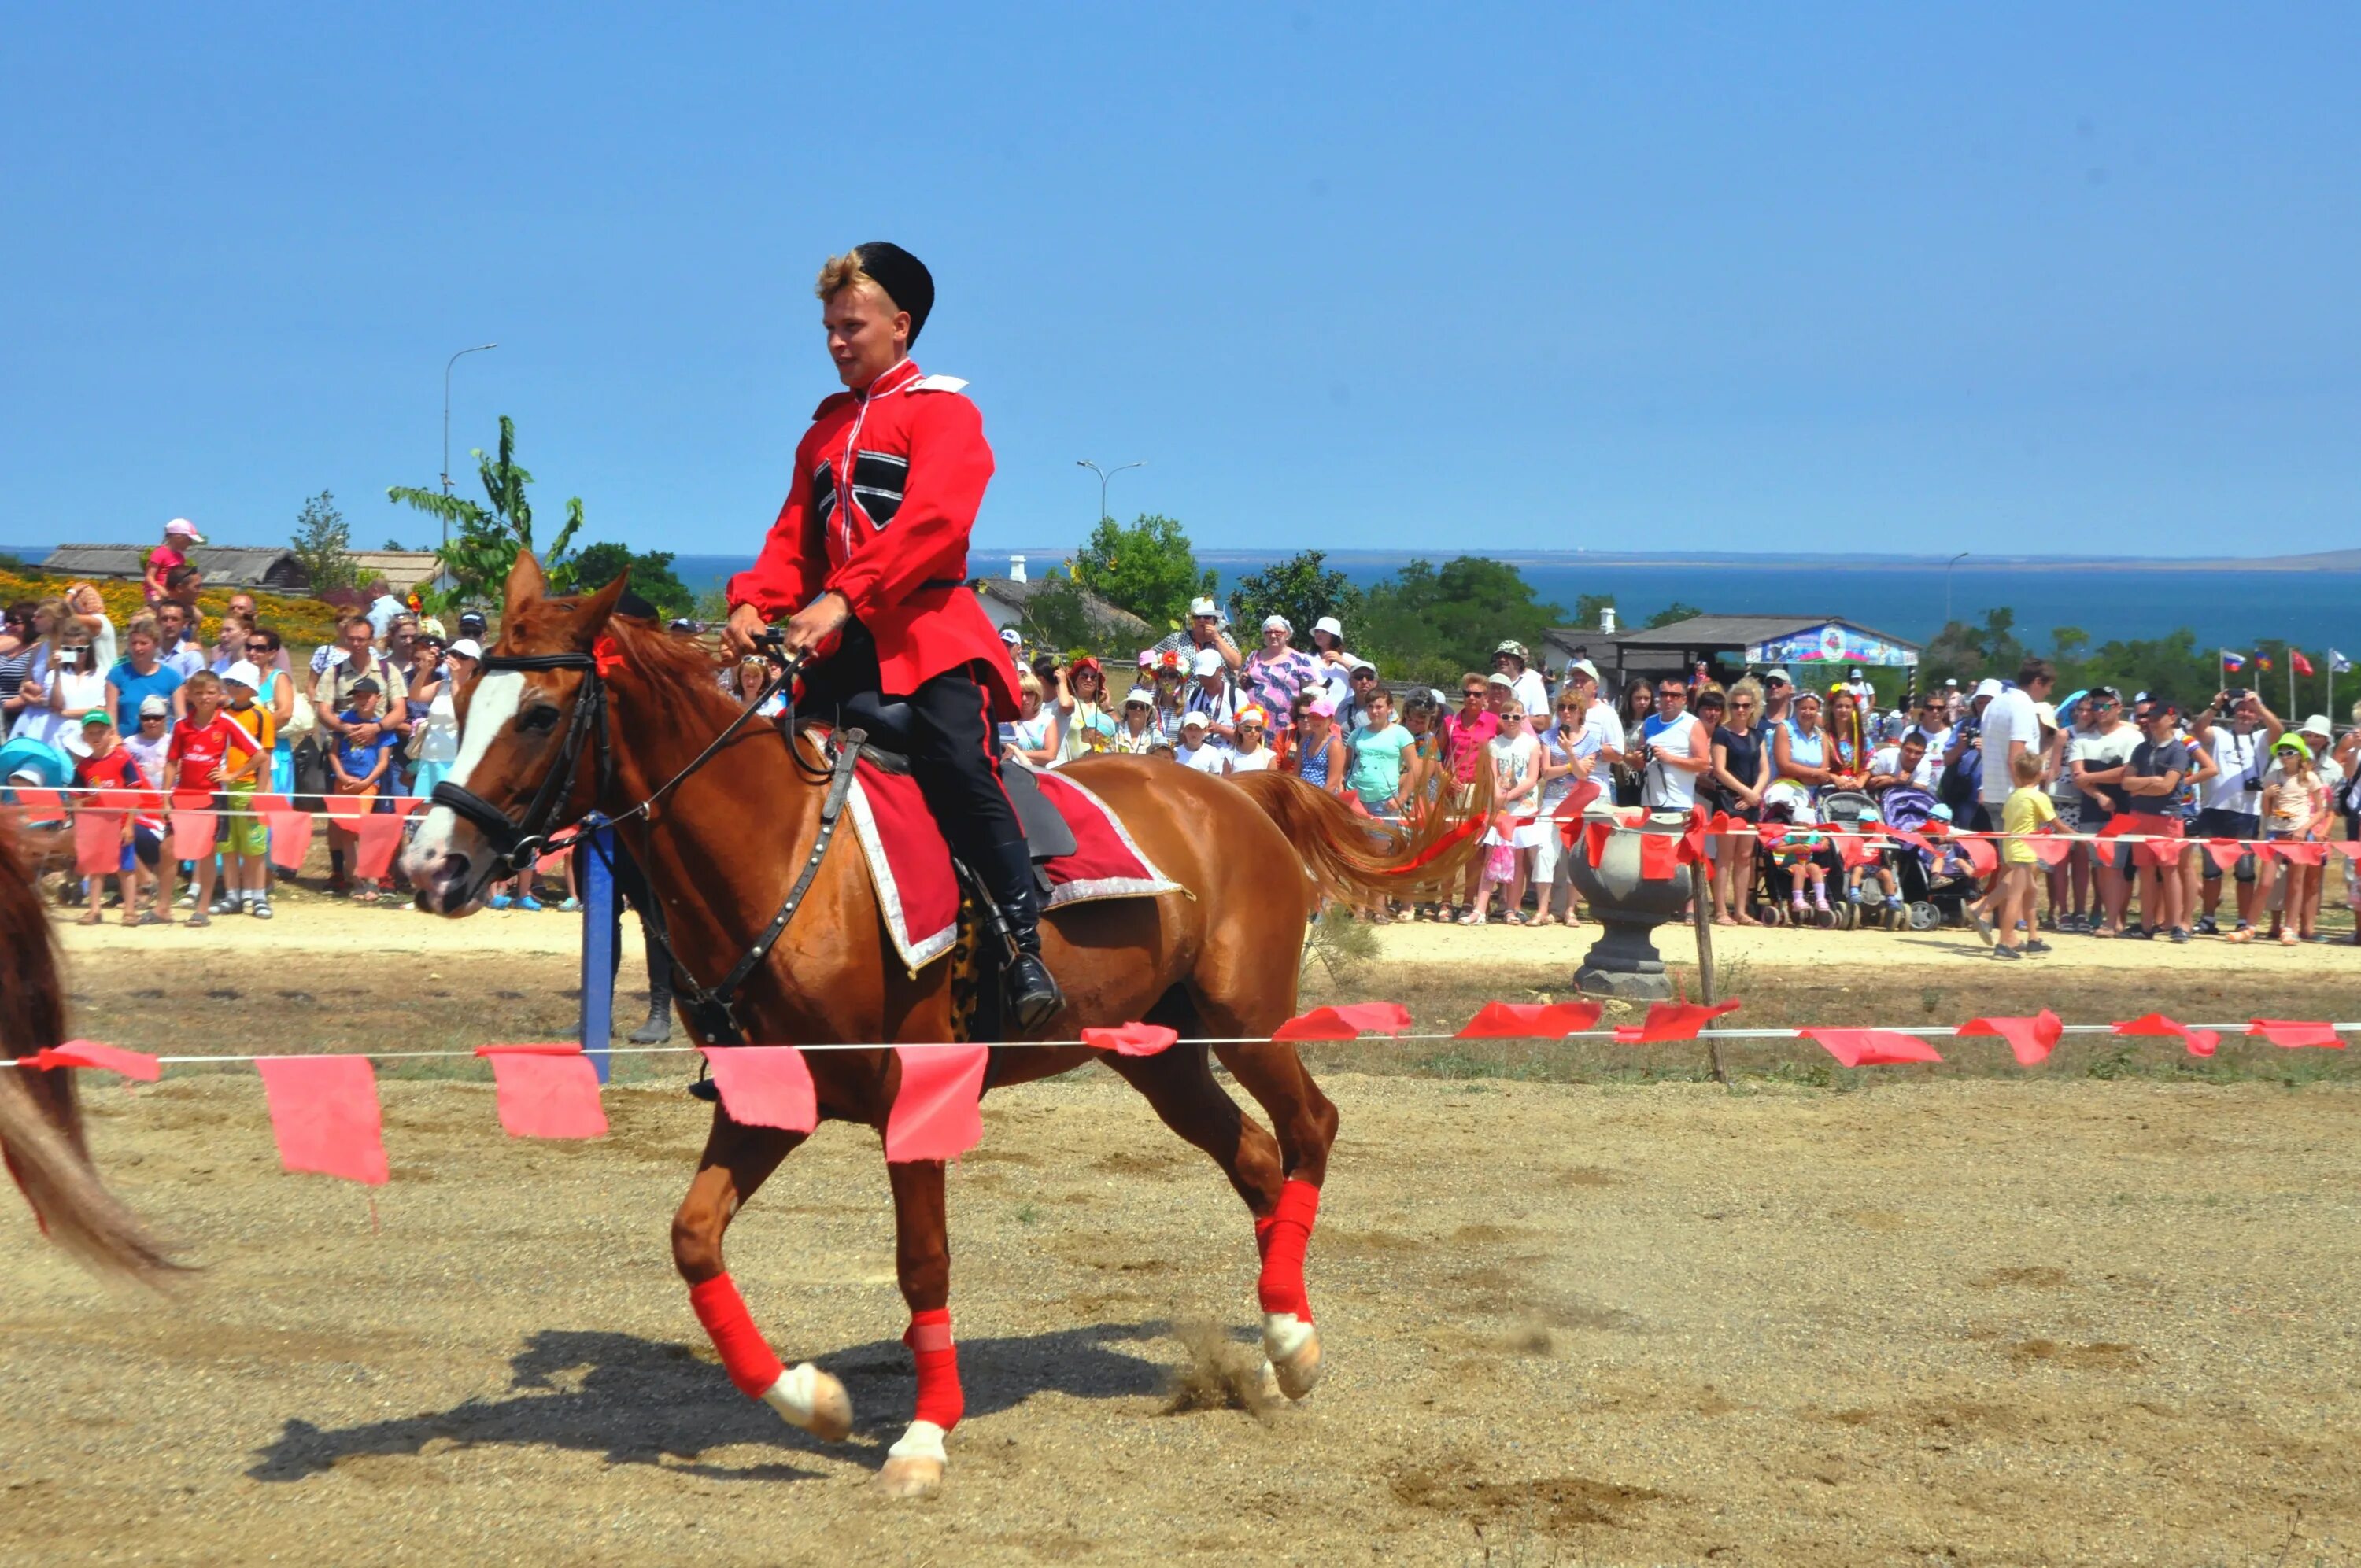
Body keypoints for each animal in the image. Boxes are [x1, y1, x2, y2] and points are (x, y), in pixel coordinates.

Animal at [401, 557, 1473, 1501]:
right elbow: (694, 1238)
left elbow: (923, 1262)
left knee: (1310, 1129)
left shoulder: (913, 1097)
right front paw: (813, 1401)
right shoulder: (768, 1100)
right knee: (1254, 1156)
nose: (430, 866)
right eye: (464, 701)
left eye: (540, 714)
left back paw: (1294, 1339)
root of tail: (1238, 791)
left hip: (1245, 1021)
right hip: (1158, 1055)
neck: (786, 854)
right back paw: (1275, 1334)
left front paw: (922, 1437)